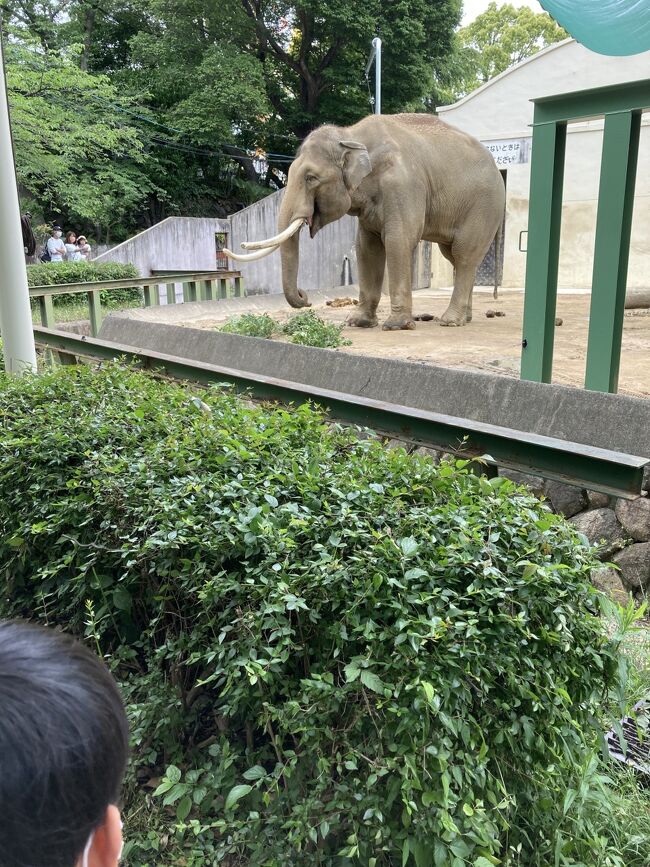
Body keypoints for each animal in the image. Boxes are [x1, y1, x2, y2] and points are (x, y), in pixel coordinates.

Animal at [225, 113, 504, 330]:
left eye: (311, 178)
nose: (306, 297)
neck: (351, 135)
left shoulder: (402, 185)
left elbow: (398, 240)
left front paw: (395, 326)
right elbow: (366, 247)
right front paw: (357, 322)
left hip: (484, 207)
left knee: (464, 254)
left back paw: (450, 321)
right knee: (455, 257)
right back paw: (465, 318)